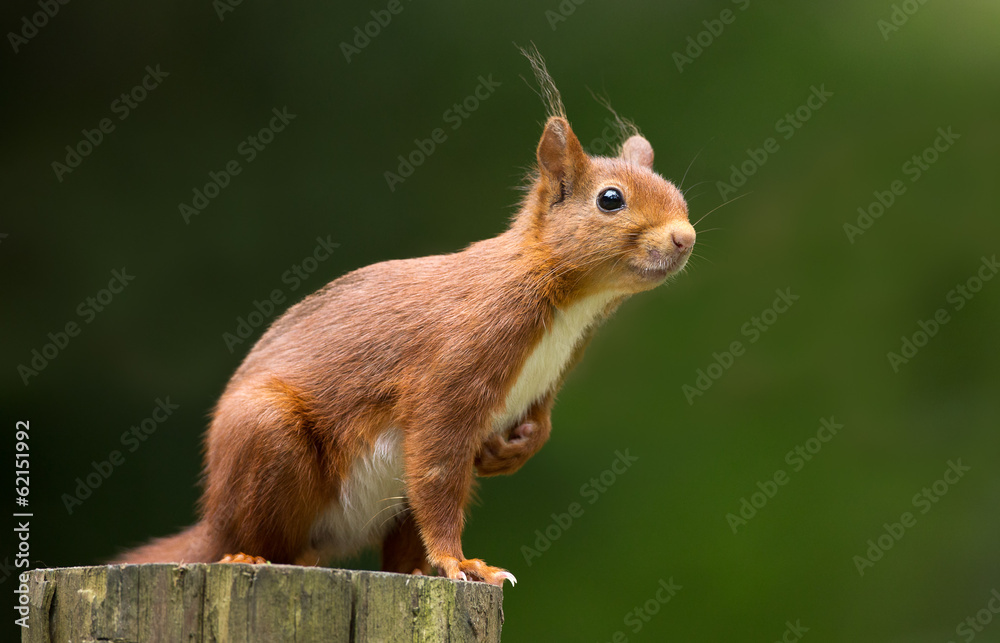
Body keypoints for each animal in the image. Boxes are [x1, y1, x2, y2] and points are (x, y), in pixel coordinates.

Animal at [117, 55, 696, 588]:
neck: (568, 307)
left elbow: (536, 423)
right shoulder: (454, 367)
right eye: (610, 199)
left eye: (678, 194)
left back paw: (416, 570)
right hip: (264, 437)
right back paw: (249, 556)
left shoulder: (549, 377)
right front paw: (458, 561)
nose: (685, 237)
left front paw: (515, 449)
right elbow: (437, 470)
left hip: (388, 502)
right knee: (249, 534)